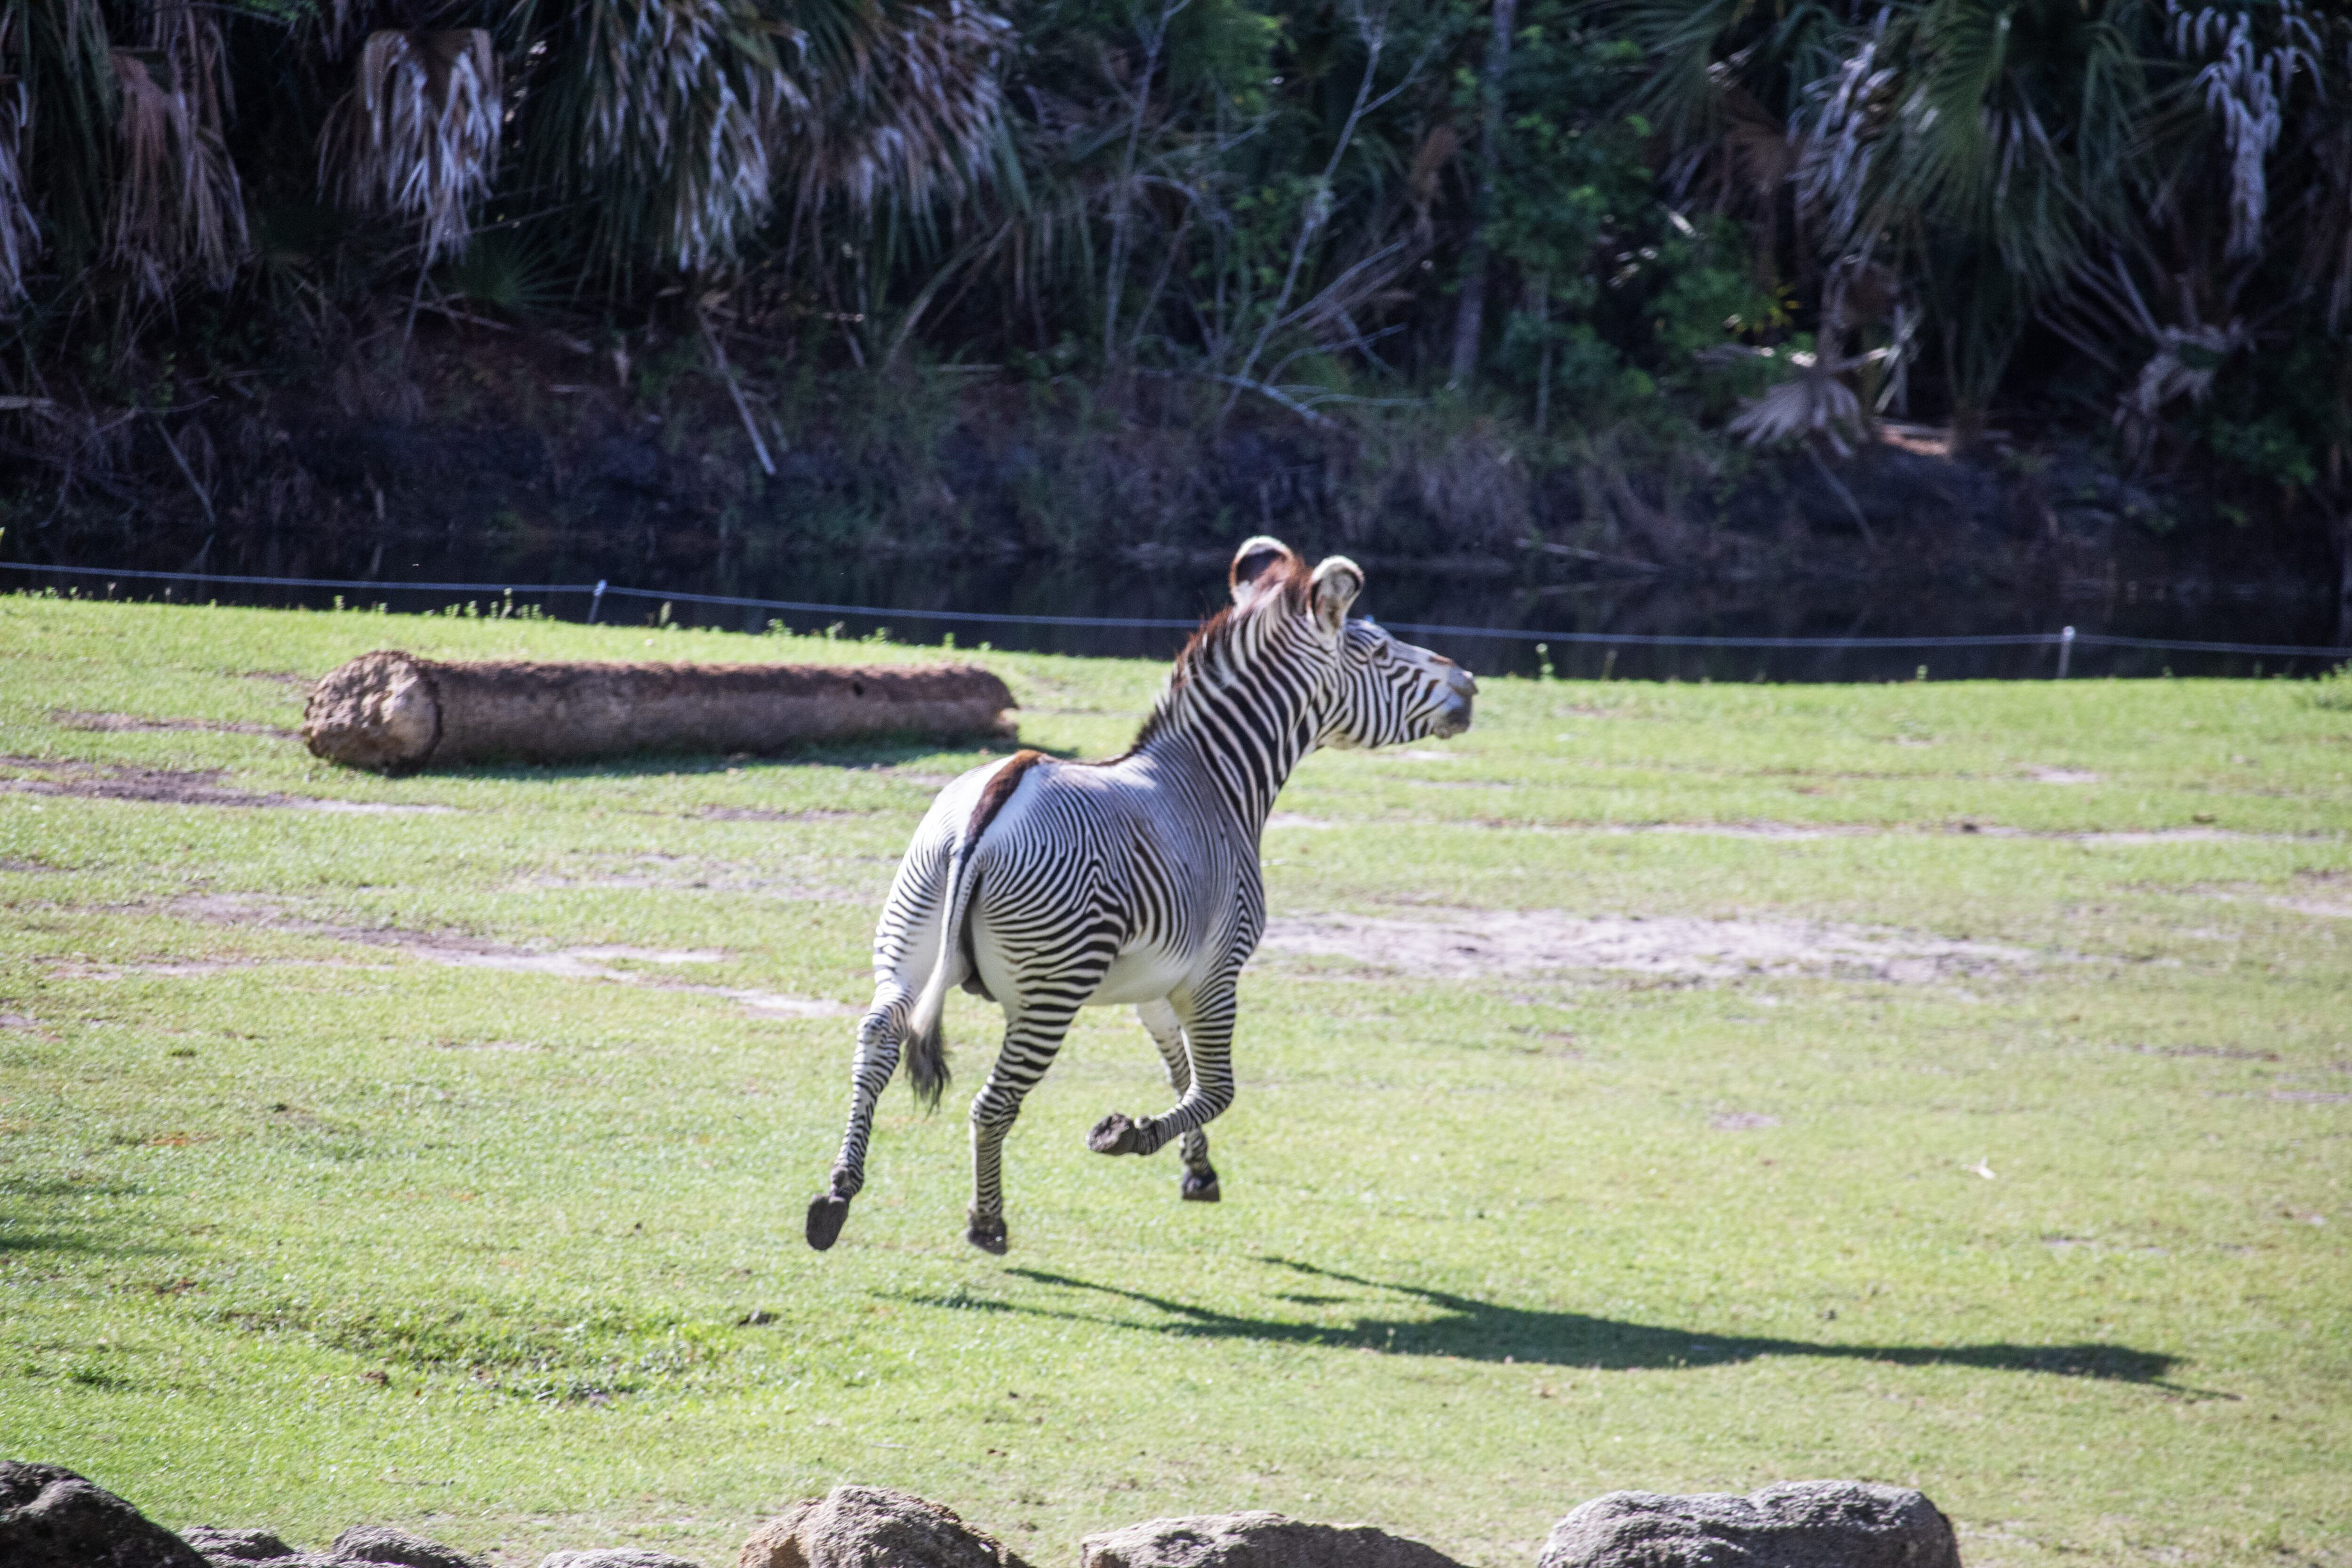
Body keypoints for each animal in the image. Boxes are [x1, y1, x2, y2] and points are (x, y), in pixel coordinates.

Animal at [805, 536, 1477, 1254]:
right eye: (1377, 651)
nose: (1471, 685)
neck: (1216, 782)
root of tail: (1001, 789)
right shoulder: (1216, 973)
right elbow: (1218, 1087)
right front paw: (1129, 1134)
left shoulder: (1158, 982)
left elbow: (1181, 1070)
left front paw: (1197, 1169)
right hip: (1050, 991)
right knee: (994, 1103)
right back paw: (987, 1223)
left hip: (907, 939)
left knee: (878, 1041)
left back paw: (838, 1192)